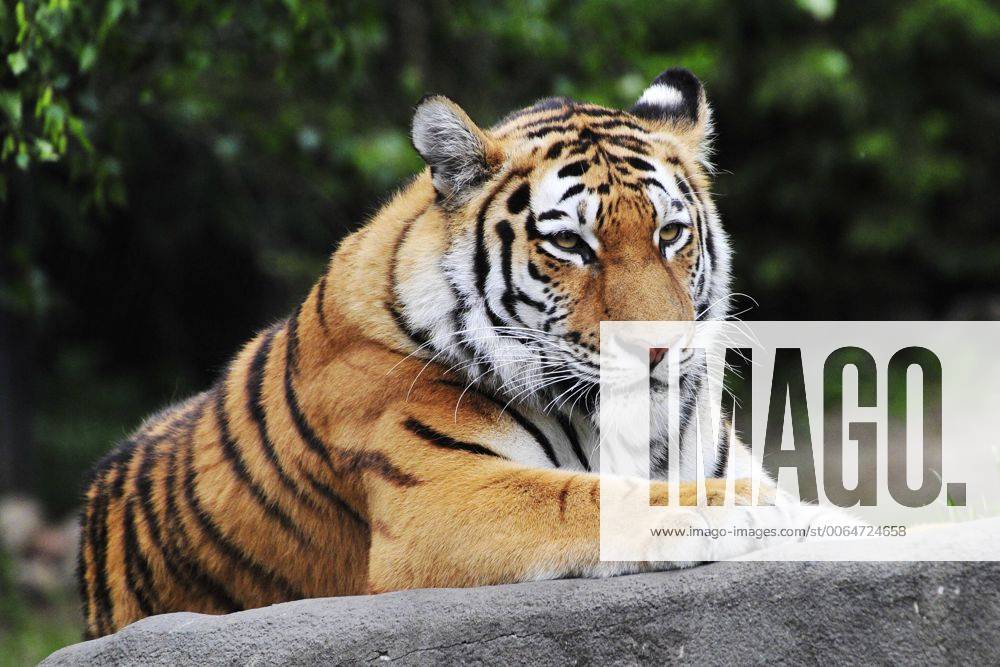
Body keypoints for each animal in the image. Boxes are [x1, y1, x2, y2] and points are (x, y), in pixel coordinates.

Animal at [78, 68, 849, 639]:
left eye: (669, 234)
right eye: (569, 243)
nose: (662, 349)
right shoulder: (436, 499)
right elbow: (586, 496)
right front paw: (746, 511)